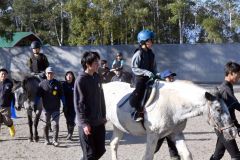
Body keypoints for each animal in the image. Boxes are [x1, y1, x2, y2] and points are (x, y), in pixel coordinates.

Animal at [102, 80, 236, 160]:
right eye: (218, 109)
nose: (232, 132)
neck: (172, 104)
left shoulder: (176, 133)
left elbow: (187, 154)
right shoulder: (153, 135)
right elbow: (148, 156)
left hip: (118, 126)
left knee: (114, 144)